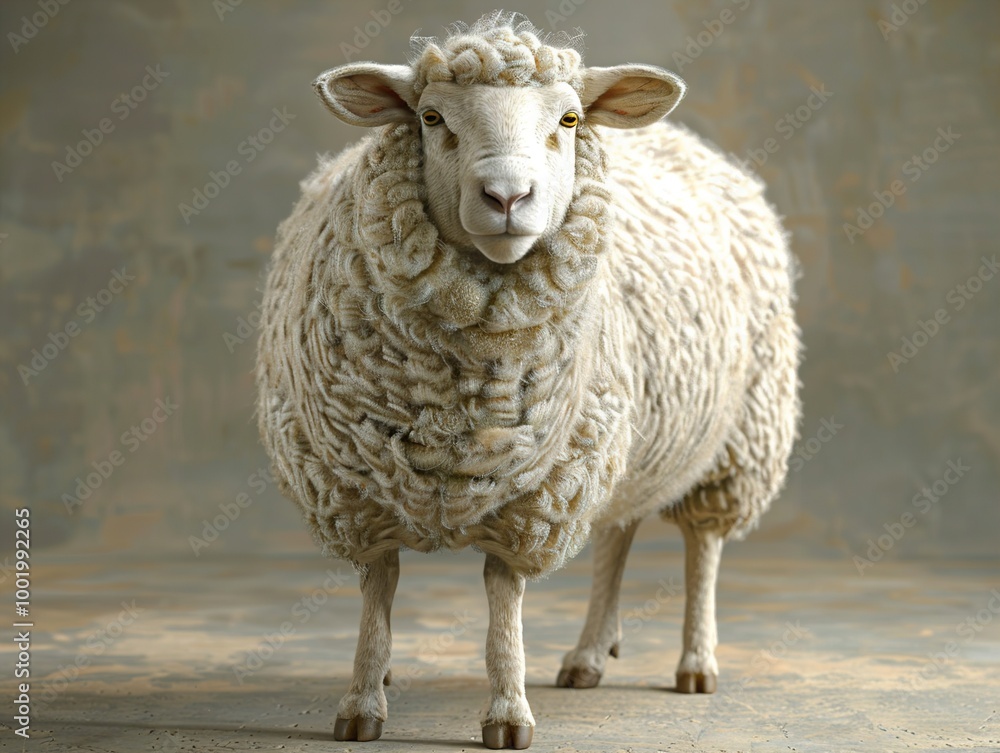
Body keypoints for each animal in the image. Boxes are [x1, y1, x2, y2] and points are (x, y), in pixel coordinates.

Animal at [255, 11, 800, 750]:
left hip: (735, 439)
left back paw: (696, 661)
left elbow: (502, 602)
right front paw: (364, 699)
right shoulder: (356, 488)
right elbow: (379, 591)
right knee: (618, 531)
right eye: (430, 117)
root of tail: (678, 136)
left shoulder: (534, 495)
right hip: (621, 437)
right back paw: (588, 655)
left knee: (703, 547)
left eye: (569, 119)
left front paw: (508, 711)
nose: (508, 196)